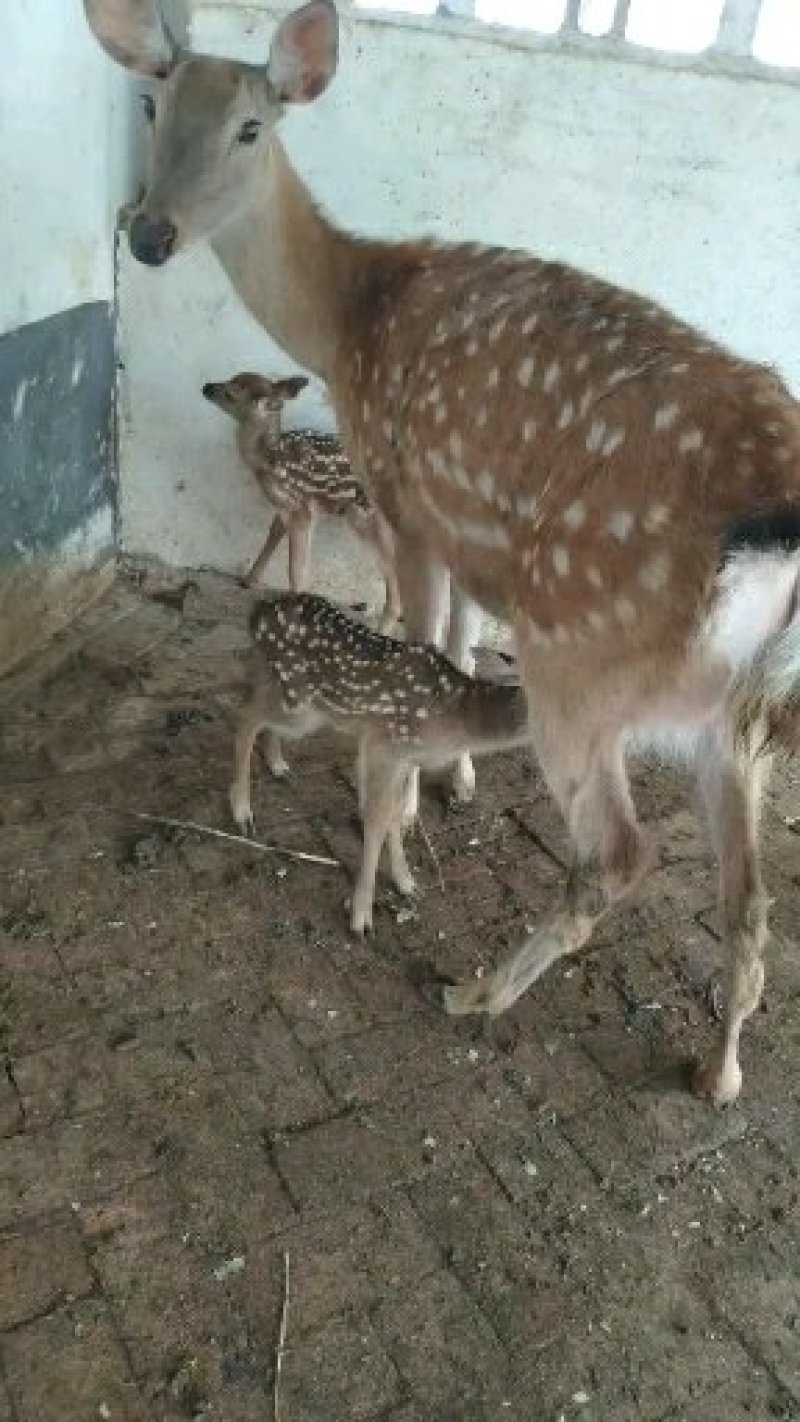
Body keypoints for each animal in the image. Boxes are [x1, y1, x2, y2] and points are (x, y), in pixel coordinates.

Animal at [202, 370, 403, 631]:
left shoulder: (302, 508)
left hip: (366, 517)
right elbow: (272, 535)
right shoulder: (285, 505)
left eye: (231, 393)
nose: (206, 387)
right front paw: (249, 580)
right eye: (233, 378)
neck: (268, 460)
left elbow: (296, 568)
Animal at [230, 592, 529, 934]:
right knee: (246, 714)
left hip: (295, 700)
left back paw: (277, 764)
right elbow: (377, 817)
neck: (456, 717)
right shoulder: (386, 744)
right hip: (301, 703)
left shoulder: (402, 754)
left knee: (258, 709)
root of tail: (256, 614)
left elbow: (395, 812)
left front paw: (406, 882)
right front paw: (361, 916)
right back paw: (242, 811)